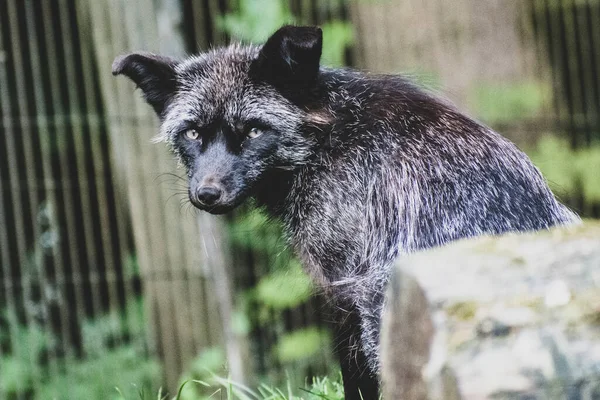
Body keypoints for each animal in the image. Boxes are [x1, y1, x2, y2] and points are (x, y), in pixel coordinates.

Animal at [113, 25, 580, 400]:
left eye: (253, 130)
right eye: (193, 133)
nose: (207, 193)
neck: (332, 138)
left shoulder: (343, 285)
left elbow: (355, 380)